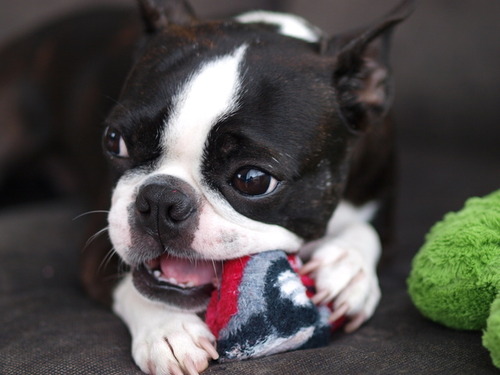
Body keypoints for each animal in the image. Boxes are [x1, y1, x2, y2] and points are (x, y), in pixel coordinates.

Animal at [0, 0, 414, 375]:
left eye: (253, 180)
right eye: (114, 141)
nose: (160, 199)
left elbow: (368, 230)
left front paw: (349, 268)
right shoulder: (103, 233)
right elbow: (134, 281)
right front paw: (168, 331)